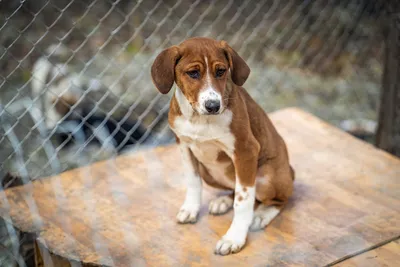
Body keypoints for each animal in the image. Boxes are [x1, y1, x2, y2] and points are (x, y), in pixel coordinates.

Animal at [151, 37, 294, 255]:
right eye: (193, 73)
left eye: (221, 71)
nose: (213, 106)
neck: (199, 119)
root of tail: (290, 171)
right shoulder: (184, 145)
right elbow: (193, 181)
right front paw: (191, 208)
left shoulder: (246, 151)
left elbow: (243, 202)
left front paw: (234, 238)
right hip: (210, 174)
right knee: (235, 189)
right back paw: (223, 201)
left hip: (267, 176)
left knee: (278, 199)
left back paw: (261, 215)